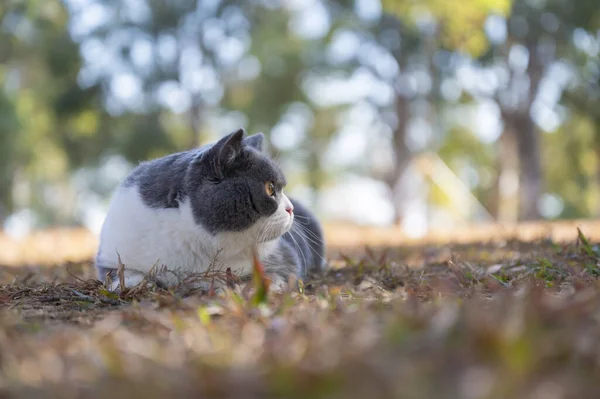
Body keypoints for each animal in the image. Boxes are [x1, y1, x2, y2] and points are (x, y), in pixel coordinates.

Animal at [95, 130, 326, 292]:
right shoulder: (111, 251)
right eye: (270, 188)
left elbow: (278, 274)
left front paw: (241, 287)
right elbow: (121, 272)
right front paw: (134, 283)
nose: (290, 208)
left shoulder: (285, 256)